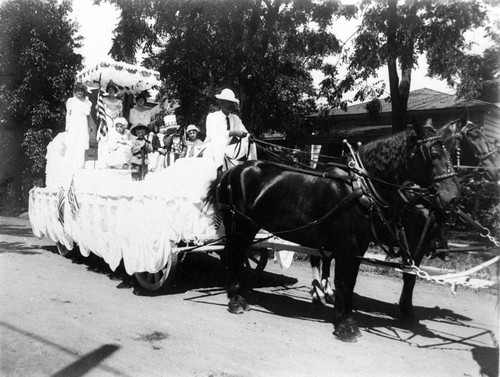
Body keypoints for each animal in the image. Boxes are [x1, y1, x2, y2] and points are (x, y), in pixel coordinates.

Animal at [204, 120, 460, 340]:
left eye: (450, 152)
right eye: (433, 154)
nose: (454, 197)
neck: (359, 187)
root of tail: (232, 171)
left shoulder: (359, 246)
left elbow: (350, 282)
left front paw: (345, 317)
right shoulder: (348, 244)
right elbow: (344, 282)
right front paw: (345, 325)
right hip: (241, 225)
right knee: (234, 253)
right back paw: (236, 299)